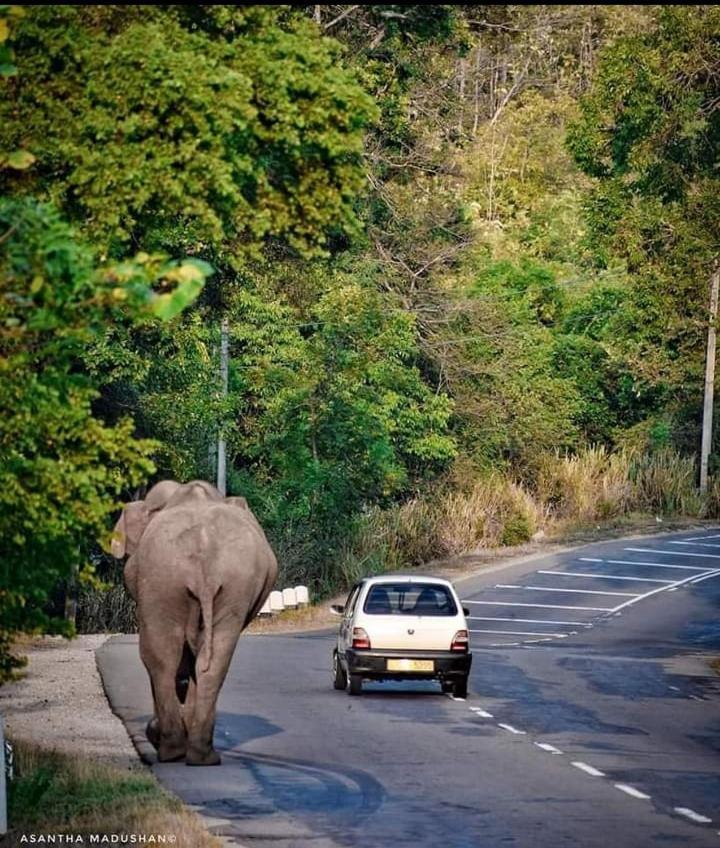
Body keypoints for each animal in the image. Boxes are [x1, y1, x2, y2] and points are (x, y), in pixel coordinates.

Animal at [111, 480, 278, 764]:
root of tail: (205, 553)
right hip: (227, 585)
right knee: (205, 662)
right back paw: (199, 755)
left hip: (163, 580)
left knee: (158, 657)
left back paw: (171, 750)